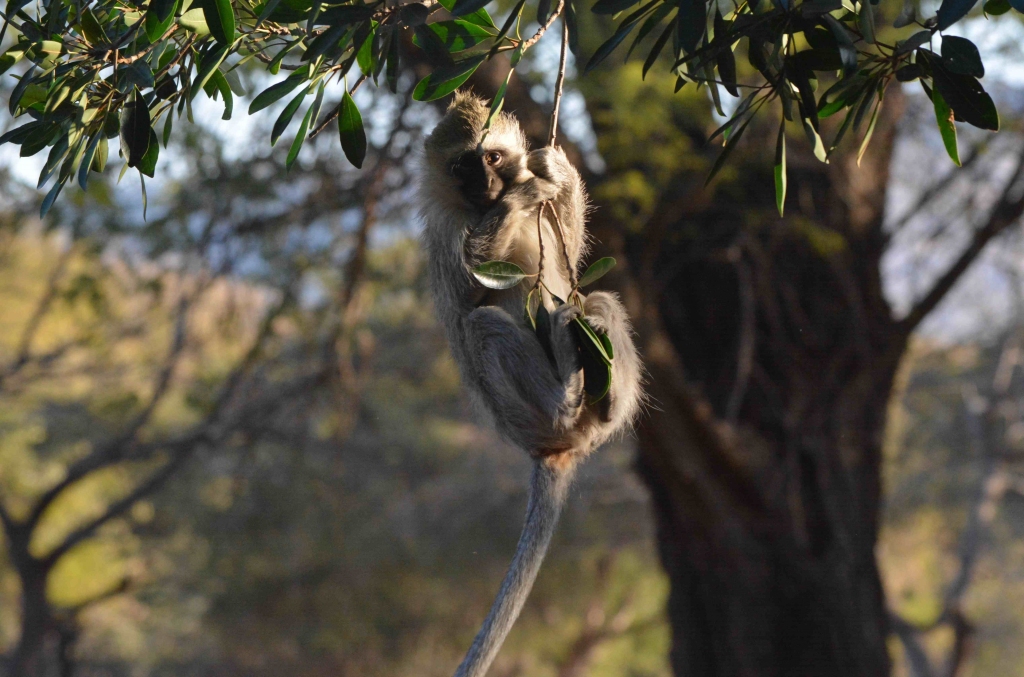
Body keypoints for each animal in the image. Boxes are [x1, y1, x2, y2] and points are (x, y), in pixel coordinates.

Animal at [415, 93, 638, 675]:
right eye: (462, 167)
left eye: (491, 157)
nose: (488, 185)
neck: (477, 210)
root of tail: (553, 447)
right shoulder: (443, 230)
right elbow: (467, 295)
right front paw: (524, 193)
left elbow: (572, 254)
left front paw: (553, 169)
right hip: (521, 413)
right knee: (484, 324)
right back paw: (565, 389)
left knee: (597, 302)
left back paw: (605, 394)